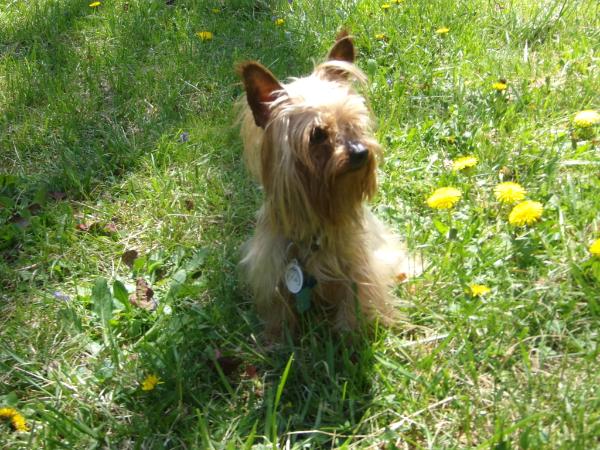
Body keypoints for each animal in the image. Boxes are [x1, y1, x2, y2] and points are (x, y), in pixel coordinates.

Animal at [236, 29, 418, 338]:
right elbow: (278, 316)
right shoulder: (272, 271)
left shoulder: (360, 268)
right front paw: (276, 339)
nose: (360, 152)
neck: (316, 226)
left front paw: (349, 338)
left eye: (353, 123)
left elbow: (354, 307)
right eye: (318, 135)